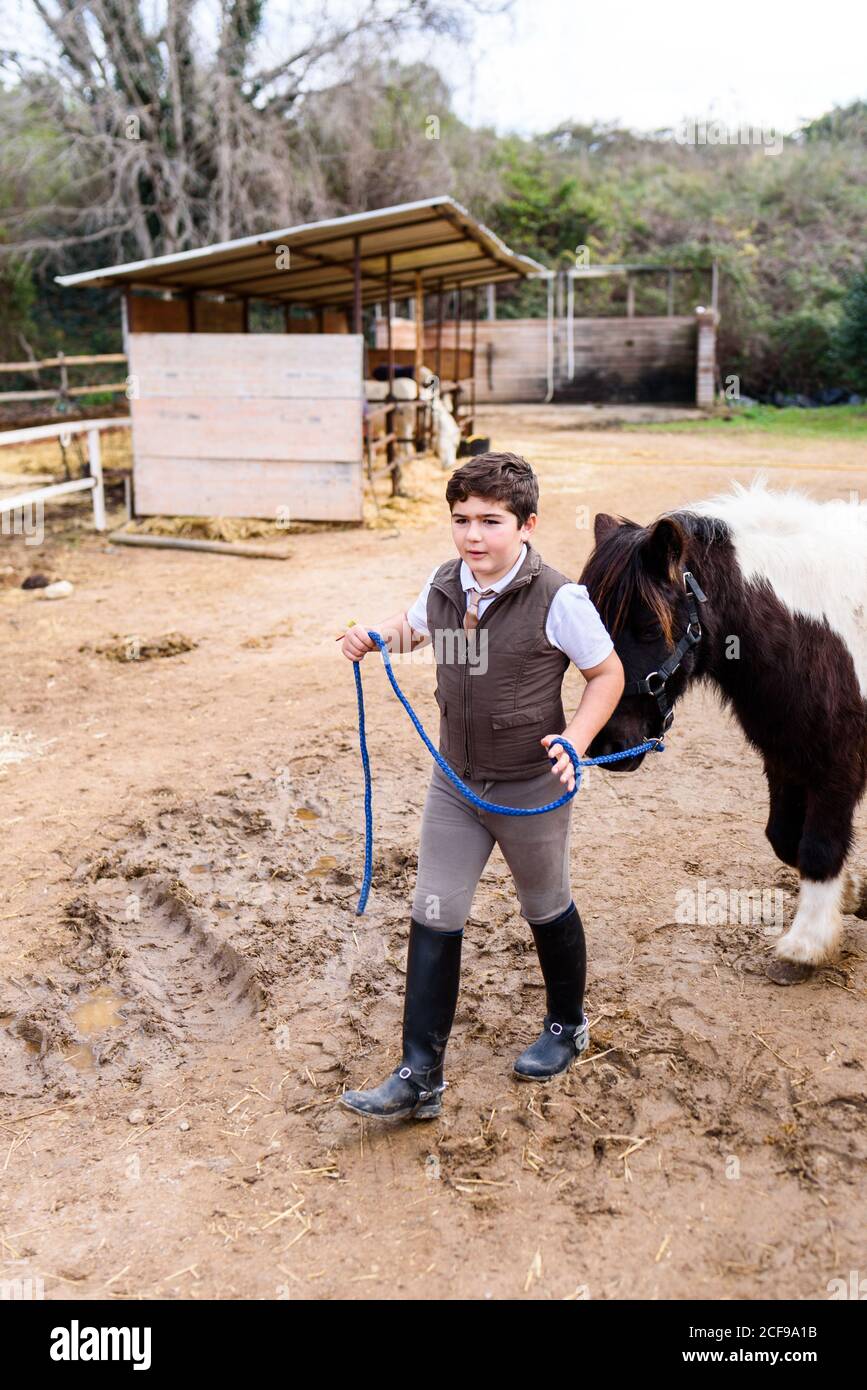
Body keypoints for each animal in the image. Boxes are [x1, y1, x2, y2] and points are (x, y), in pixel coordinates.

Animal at [578, 483, 867, 984]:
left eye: (648, 626)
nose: (609, 747)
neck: (818, 630)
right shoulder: (786, 753)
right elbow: (785, 837)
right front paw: (853, 892)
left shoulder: (839, 760)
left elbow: (819, 845)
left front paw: (805, 947)